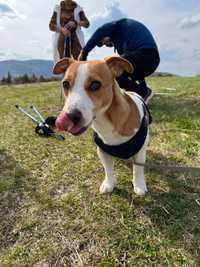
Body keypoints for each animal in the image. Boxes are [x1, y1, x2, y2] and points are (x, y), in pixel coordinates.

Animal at [53, 56, 148, 196]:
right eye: (65, 84)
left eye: (95, 84)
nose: (70, 116)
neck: (106, 122)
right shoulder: (102, 151)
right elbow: (108, 170)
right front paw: (109, 184)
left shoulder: (140, 151)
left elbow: (138, 169)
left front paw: (139, 185)